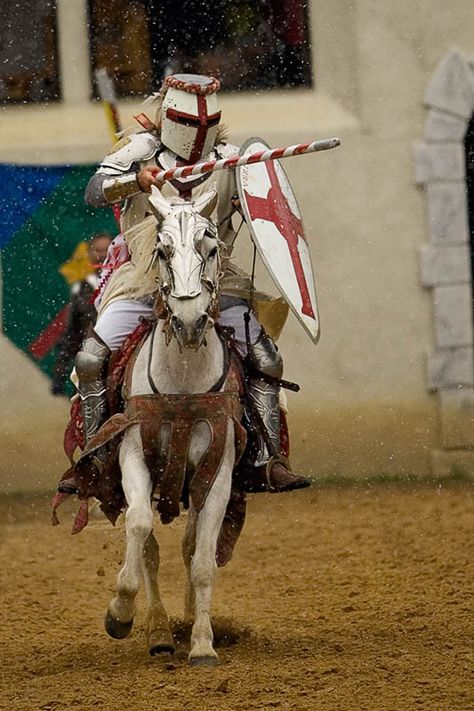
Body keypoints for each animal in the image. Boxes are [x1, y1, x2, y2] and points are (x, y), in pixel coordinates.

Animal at [104, 188, 244, 668]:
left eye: (211, 248)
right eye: (162, 251)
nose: (188, 321)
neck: (182, 384)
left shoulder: (217, 475)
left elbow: (202, 561)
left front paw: (202, 643)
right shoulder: (133, 457)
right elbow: (140, 527)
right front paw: (120, 613)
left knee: (188, 546)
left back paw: (184, 627)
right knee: (149, 546)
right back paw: (161, 633)